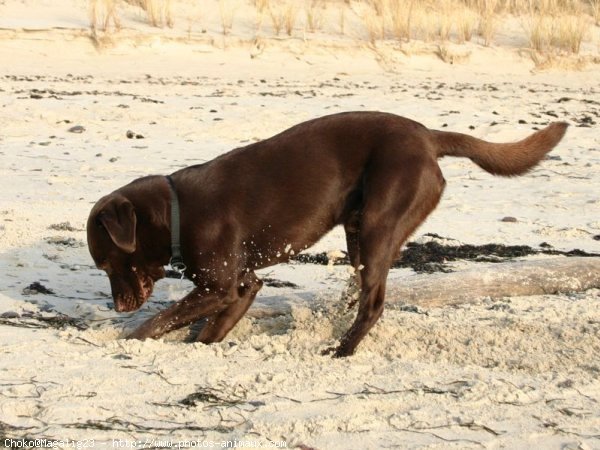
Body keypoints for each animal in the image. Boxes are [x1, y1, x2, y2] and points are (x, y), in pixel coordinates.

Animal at [85, 110, 568, 356]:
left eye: (108, 261)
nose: (117, 306)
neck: (177, 209)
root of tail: (428, 137)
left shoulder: (218, 285)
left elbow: (157, 322)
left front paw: (128, 338)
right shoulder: (242, 285)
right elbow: (207, 329)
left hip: (378, 222)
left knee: (374, 301)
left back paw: (343, 349)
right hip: (358, 230)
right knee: (360, 289)